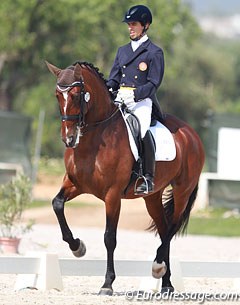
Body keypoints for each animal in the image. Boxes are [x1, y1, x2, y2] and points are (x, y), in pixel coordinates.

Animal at [45, 60, 204, 294]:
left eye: (75, 94)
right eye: (57, 95)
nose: (69, 139)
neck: (94, 139)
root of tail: (191, 134)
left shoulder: (112, 196)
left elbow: (109, 238)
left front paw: (107, 283)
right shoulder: (75, 184)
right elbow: (57, 204)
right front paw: (77, 247)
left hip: (183, 190)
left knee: (172, 228)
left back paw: (158, 267)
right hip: (152, 196)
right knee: (164, 227)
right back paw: (166, 283)